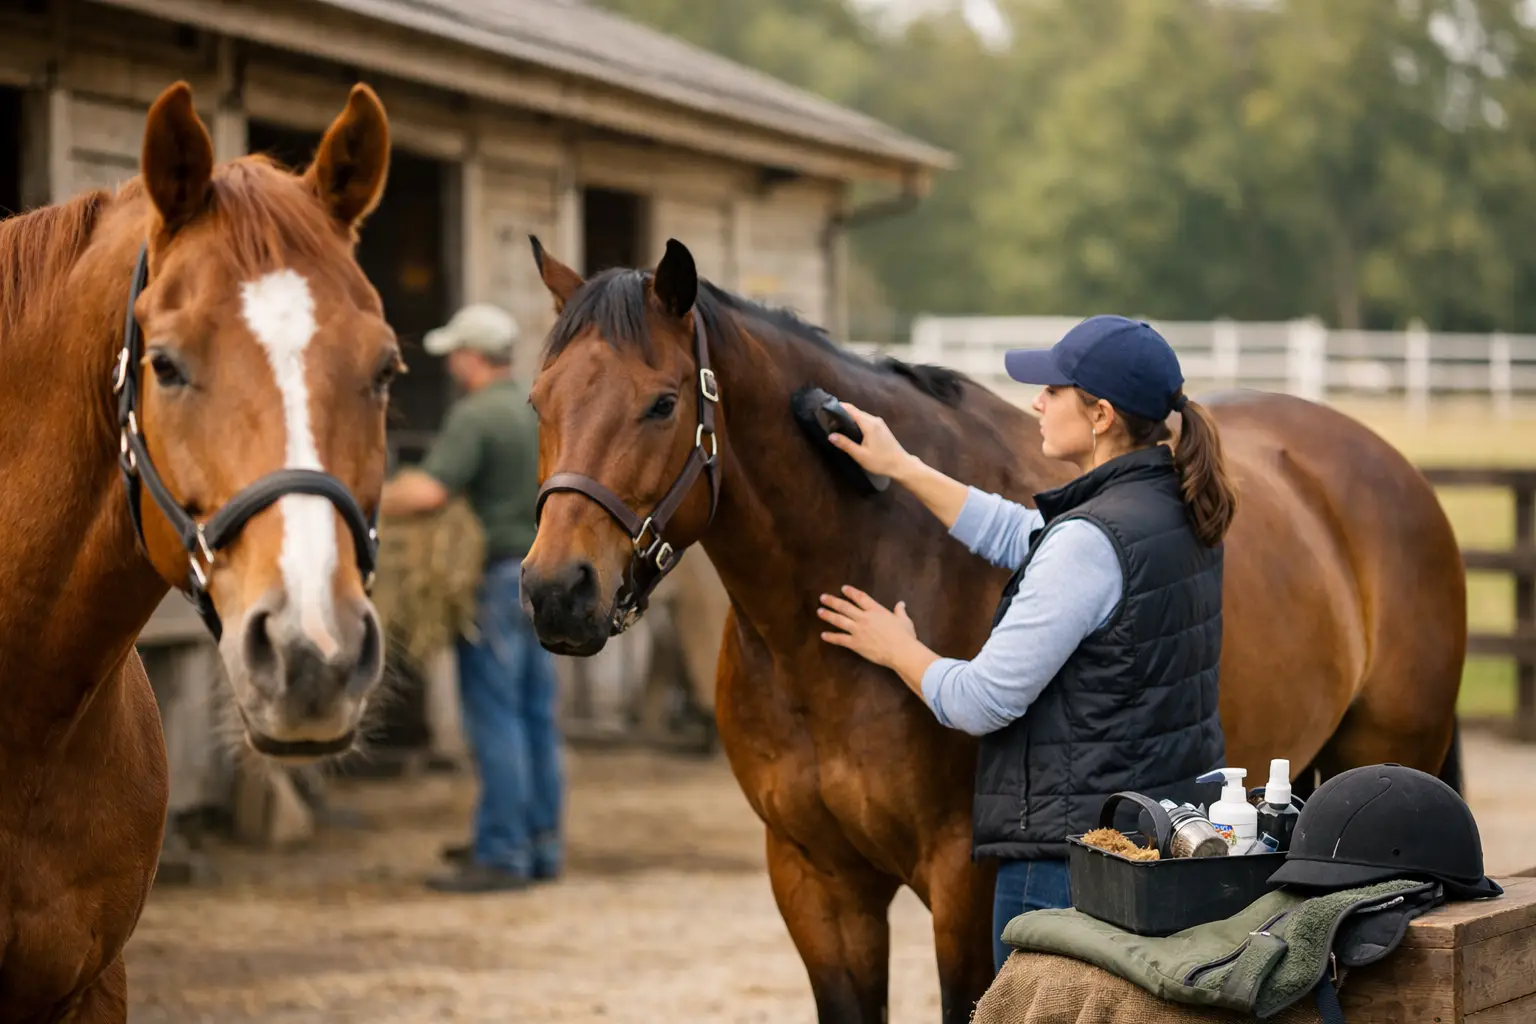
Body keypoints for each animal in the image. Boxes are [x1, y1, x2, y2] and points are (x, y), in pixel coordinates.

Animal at [517, 239, 1467, 1024]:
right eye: (536, 402)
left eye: (662, 403)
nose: (556, 591)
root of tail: (1384, 465)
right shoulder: (815, 879)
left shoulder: (964, 887)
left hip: (1387, 749)